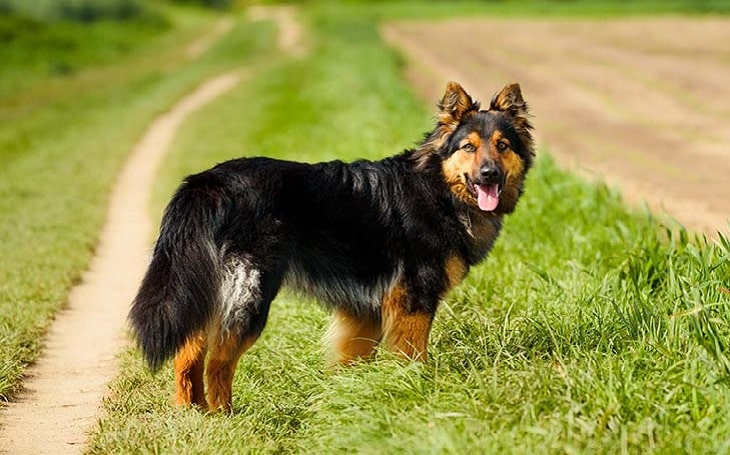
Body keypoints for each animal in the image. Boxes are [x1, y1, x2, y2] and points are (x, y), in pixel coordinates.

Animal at [128, 82, 532, 414]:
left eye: (502, 146)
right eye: (468, 147)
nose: (489, 175)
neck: (439, 189)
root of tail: (208, 182)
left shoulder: (366, 310)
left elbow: (352, 359)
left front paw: (351, 396)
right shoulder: (414, 301)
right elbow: (413, 355)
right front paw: (414, 390)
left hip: (208, 291)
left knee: (188, 353)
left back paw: (192, 413)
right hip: (250, 297)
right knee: (218, 362)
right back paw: (225, 416)